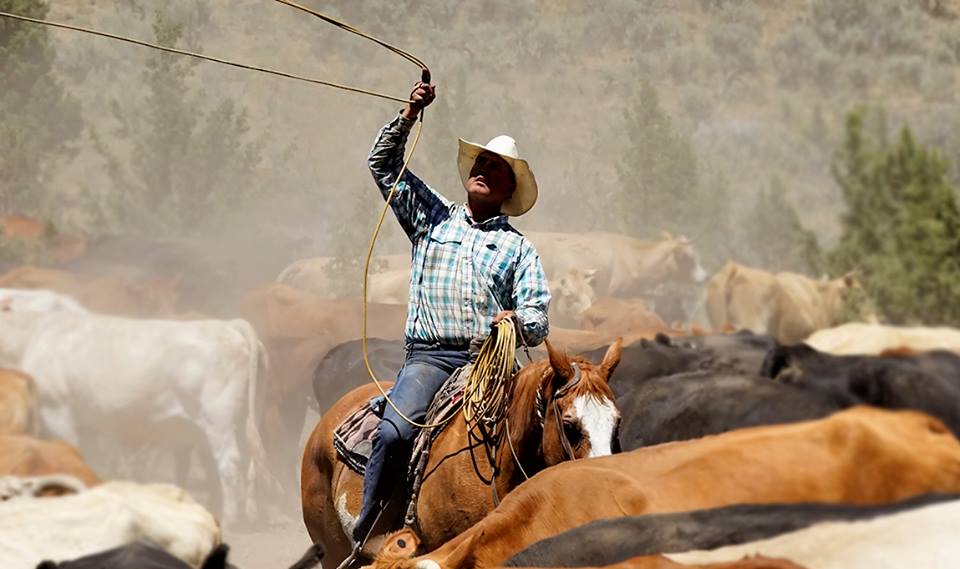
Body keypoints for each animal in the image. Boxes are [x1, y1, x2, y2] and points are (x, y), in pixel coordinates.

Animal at [0, 311, 268, 522]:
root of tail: (227, 325)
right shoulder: (85, 423)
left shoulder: (58, 411)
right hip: (243, 417)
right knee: (243, 460)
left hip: (218, 419)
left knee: (229, 463)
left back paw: (230, 518)